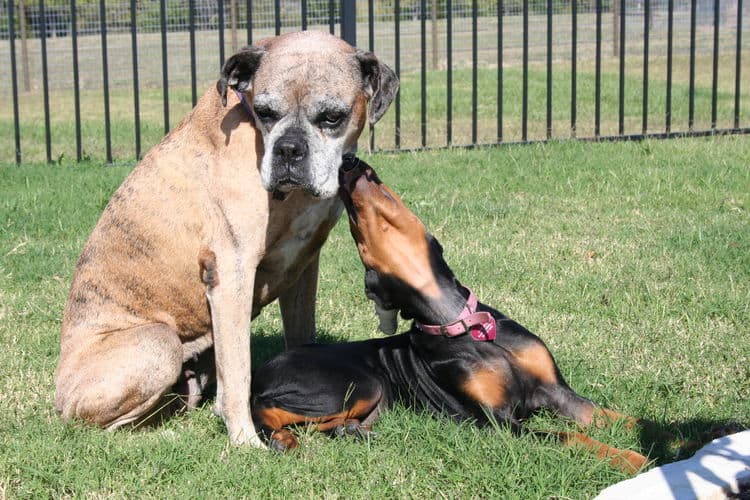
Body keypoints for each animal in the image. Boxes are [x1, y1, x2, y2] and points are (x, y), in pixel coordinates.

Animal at [53, 31, 400, 446]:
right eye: (265, 113)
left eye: (332, 117)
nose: (288, 149)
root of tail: (59, 395)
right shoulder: (232, 273)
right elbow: (237, 372)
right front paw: (246, 441)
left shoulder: (303, 268)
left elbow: (301, 333)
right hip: (157, 343)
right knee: (96, 426)